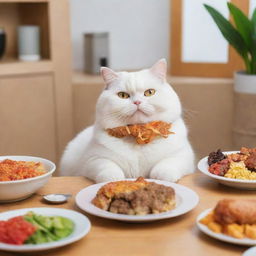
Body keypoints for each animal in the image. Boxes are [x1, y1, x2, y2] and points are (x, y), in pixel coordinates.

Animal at [60, 58, 195, 182]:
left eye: (150, 92)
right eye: (123, 95)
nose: (137, 102)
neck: (138, 136)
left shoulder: (184, 156)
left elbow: (167, 164)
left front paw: (162, 176)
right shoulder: (92, 159)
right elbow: (108, 167)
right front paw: (114, 180)